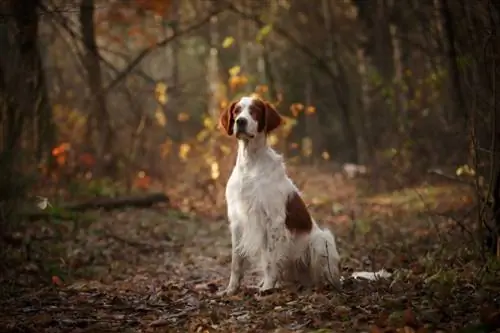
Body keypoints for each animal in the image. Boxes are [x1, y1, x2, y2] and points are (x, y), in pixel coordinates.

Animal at [218, 94, 340, 294]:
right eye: (236, 111)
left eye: (254, 111)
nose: (240, 121)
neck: (251, 163)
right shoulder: (236, 221)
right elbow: (236, 261)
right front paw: (231, 289)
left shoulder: (273, 220)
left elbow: (270, 260)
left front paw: (267, 287)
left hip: (322, 239)